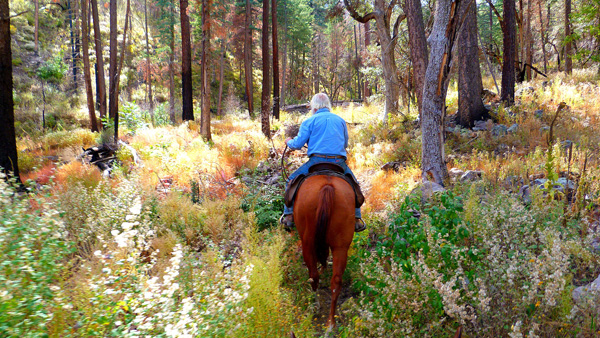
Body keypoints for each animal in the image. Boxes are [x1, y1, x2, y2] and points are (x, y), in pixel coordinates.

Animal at [294, 174, 356, 330]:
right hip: (341, 246)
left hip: (307, 242)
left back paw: (315, 304)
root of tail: (327, 187)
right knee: (336, 281)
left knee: (313, 275)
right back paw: (330, 324)